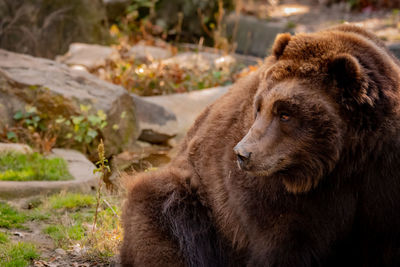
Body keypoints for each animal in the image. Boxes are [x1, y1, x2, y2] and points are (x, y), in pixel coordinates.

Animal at [120, 25, 400, 267]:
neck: (339, 162)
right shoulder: (275, 199)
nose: (242, 153)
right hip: (198, 203)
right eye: (259, 107)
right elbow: (283, 245)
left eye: (285, 113)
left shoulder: (382, 174)